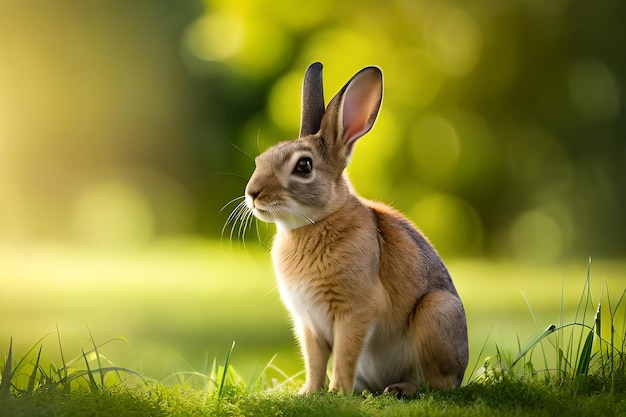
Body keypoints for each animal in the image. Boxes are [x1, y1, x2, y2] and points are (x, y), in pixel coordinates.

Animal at [241, 62, 466, 396]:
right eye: (261, 159)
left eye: (304, 166)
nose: (253, 193)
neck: (315, 222)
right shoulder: (309, 323)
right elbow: (315, 360)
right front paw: (309, 392)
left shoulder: (355, 311)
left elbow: (345, 356)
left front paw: (336, 393)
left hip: (437, 312)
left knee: (438, 383)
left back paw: (400, 389)